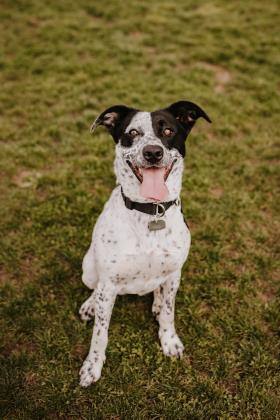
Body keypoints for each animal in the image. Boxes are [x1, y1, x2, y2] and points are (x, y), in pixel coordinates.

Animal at [79, 101, 210, 388]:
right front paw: (92, 366)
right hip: (89, 268)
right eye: (133, 133)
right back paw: (91, 305)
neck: (151, 212)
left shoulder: (174, 273)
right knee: (95, 288)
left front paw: (169, 341)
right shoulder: (109, 282)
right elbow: (100, 333)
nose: (152, 152)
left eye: (169, 130)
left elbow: (170, 313)